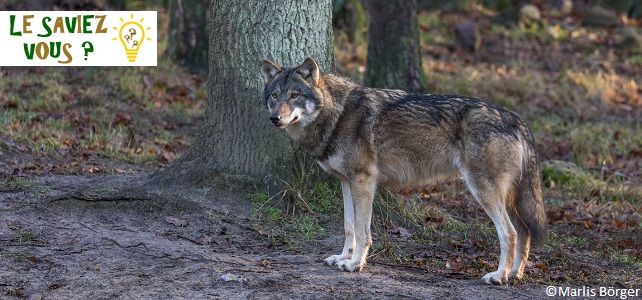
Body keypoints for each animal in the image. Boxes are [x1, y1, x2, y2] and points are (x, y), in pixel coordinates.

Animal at [258, 56, 544, 284]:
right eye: (275, 95)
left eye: (294, 95)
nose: (274, 118)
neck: (336, 115)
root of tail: (516, 119)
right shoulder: (346, 182)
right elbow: (348, 226)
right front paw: (343, 257)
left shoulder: (363, 181)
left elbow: (362, 230)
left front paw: (355, 264)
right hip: (508, 198)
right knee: (525, 231)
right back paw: (515, 274)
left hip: (483, 191)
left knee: (509, 233)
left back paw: (499, 276)